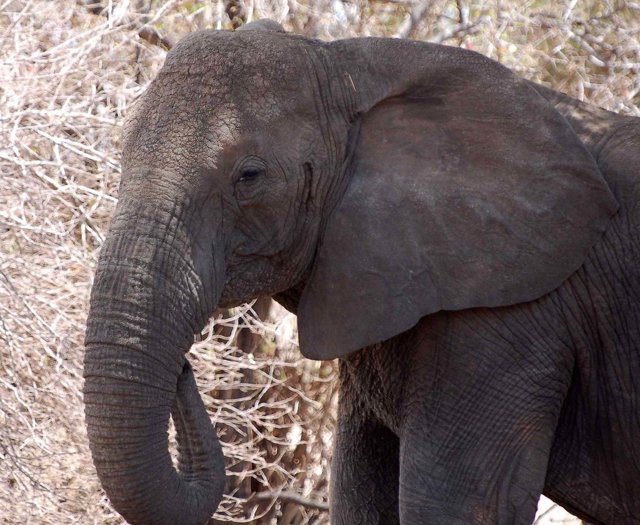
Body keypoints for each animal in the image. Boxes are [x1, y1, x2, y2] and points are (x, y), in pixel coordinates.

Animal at [83, 19, 640, 525]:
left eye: (250, 176)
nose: (185, 367)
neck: (348, 69)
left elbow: (454, 508)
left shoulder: (508, 314)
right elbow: (359, 496)